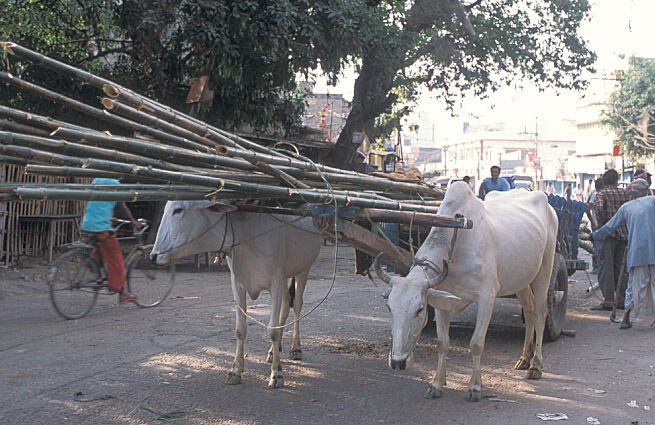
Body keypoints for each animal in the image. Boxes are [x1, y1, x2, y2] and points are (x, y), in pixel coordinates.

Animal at [150, 200, 323, 388]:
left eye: (178, 210)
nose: (153, 256)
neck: (245, 234)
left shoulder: (275, 282)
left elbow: (272, 330)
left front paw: (277, 374)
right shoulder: (237, 283)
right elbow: (241, 329)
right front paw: (235, 371)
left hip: (303, 269)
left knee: (297, 305)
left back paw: (296, 348)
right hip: (286, 277)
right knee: (285, 308)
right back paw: (273, 351)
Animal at [374, 182, 557, 401]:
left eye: (419, 309)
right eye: (389, 308)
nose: (397, 362)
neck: (456, 242)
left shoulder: (487, 298)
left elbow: (477, 342)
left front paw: (474, 387)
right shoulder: (441, 302)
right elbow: (442, 342)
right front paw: (437, 384)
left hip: (545, 267)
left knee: (540, 313)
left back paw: (536, 366)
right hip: (520, 278)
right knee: (529, 311)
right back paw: (524, 359)